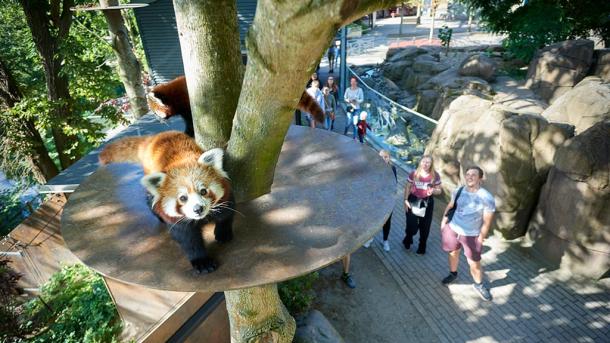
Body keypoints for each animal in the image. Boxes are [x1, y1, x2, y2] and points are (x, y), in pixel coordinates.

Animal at [100, 131, 233, 274]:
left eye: (203, 191)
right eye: (183, 198)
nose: (198, 209)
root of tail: (154, 137)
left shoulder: (226, 196)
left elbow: (226, 214)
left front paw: (223, 233)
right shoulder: (177, 222)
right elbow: (188, 239)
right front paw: (202, 261)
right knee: (151, 199)